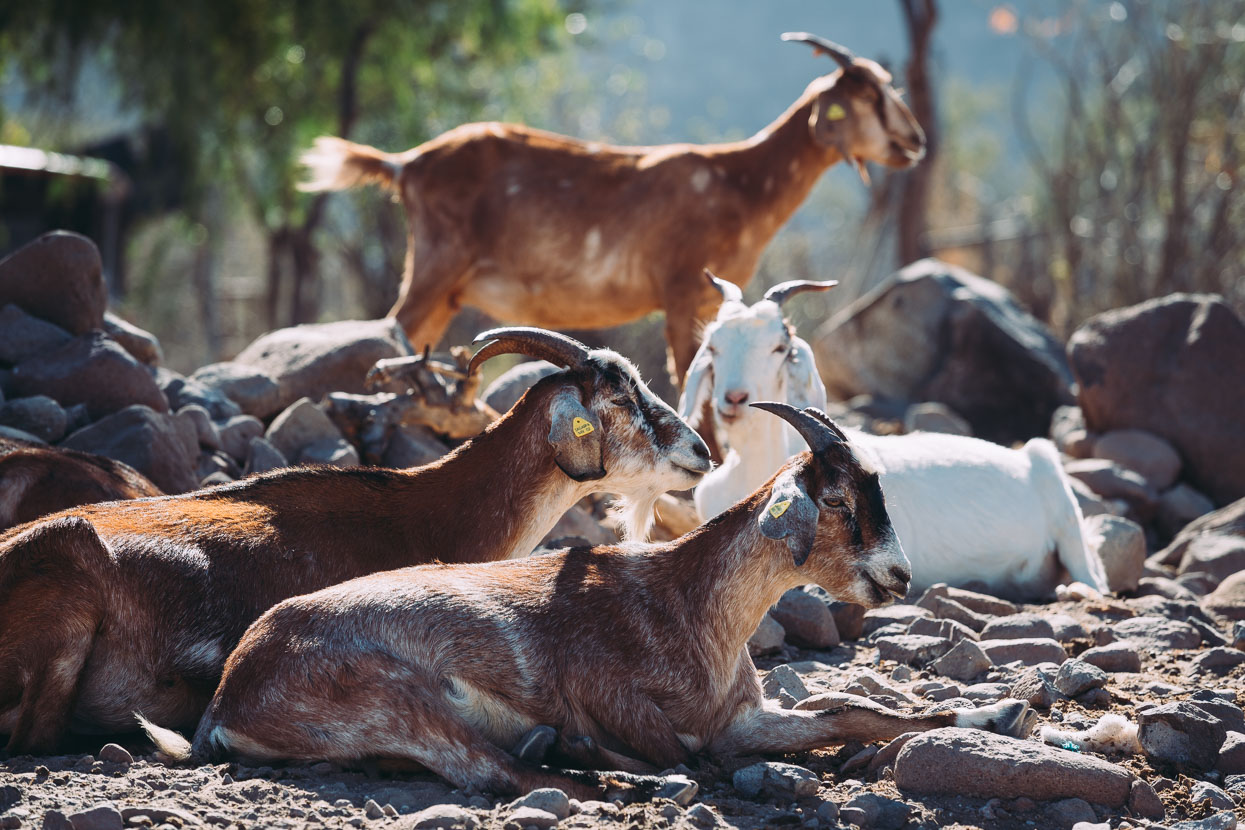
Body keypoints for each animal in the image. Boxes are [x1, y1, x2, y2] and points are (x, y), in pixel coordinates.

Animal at [298, 33, 926, 383]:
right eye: (866, 96)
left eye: (888, 84)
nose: (915, 140)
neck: (738, 181)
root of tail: (406, 164)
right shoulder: (681, 289)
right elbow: (684, 374)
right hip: (436, 262)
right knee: (390, 330)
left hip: (447, 289)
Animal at [682, 273, 1110, 604]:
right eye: (714, 346)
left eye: (780, 346)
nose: (734, 399)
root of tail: (1025, 459)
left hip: (1062, 505)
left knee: (1093, 577)